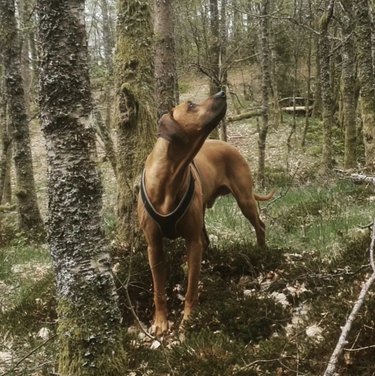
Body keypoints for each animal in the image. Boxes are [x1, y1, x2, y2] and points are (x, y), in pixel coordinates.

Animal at [138, 92, 274, 336]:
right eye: (191, 105)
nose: (221, 92)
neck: (169, 176)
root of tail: (229, 145)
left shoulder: (192, 241)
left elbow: (192, 287)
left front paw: (189, 319)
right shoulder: (153, 245)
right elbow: (158, 289)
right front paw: (160, 321)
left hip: (245, 198)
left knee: (259, 225)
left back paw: (261, 251)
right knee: (207, 239)